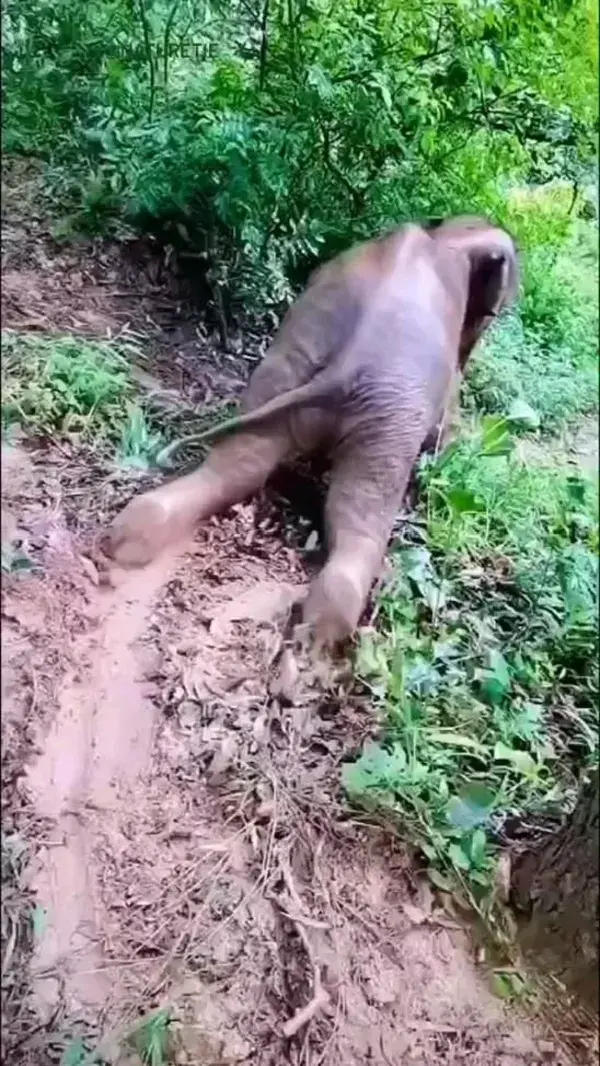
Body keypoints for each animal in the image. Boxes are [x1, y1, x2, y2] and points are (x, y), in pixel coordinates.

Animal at [102, 215, 515, 643]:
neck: (449, 237)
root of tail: (346, 365)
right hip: (387, 418)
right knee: (358, 517)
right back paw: (322, 636)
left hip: (289, 362)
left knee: (240, 462)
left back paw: (126, 540)